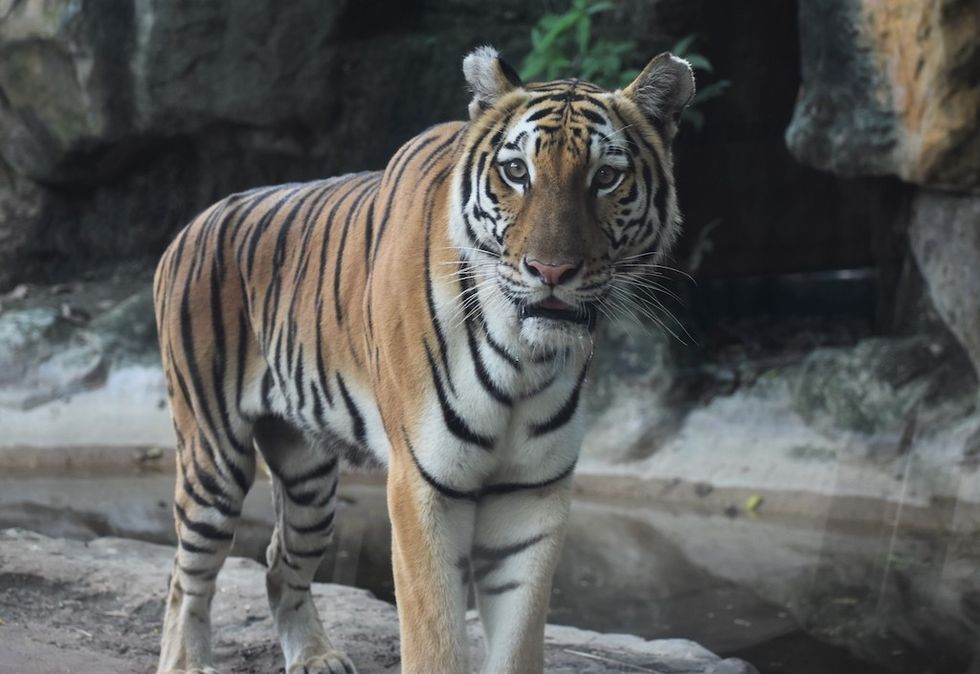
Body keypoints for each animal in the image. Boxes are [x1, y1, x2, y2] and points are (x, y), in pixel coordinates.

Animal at [152, 45, 694, 674]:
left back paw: (316, 656)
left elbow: (519, 639)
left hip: (309, 479)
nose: (551, 271)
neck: (525, 358)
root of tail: (194, 223)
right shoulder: (423, 486)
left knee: (278, 562)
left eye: (605, 177)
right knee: (186, 576)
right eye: (517, 172)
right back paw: (189, 661)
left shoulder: (531, 496)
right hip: (212, 456)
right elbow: (434, 637)